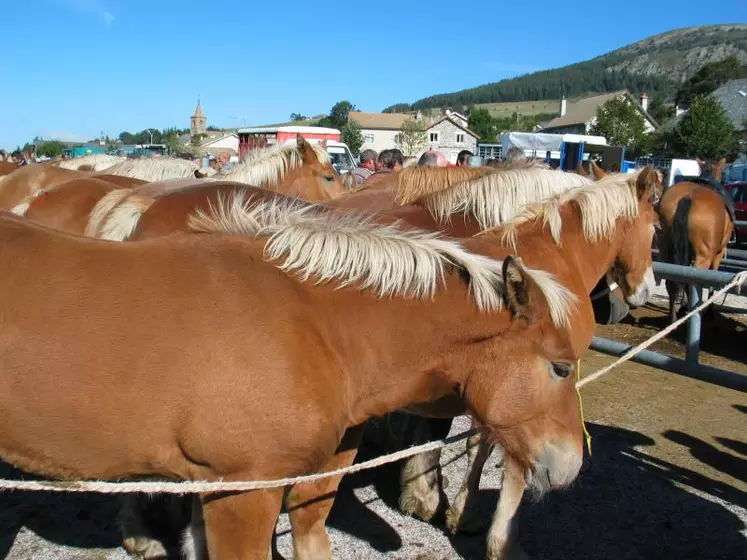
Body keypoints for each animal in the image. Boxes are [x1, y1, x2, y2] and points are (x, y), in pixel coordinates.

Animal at [656, 158, 732, 324]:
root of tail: (688, 197)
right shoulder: (718, 254)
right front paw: (709, 311)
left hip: (665, 250)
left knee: (672, 280)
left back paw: (673, 319)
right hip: (704, 256)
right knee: (694, 283)